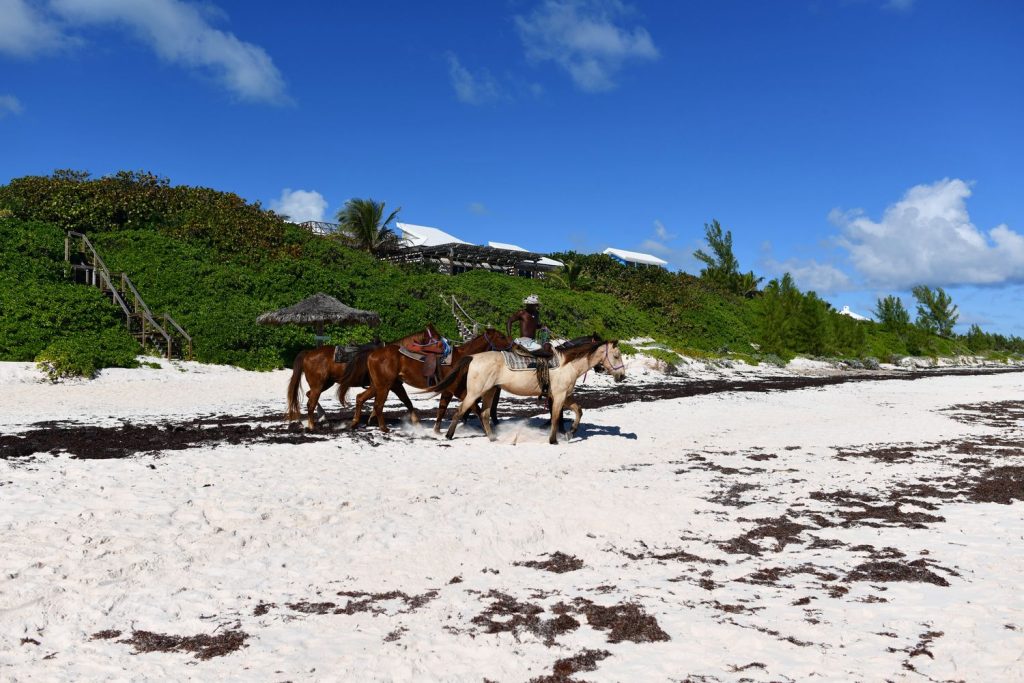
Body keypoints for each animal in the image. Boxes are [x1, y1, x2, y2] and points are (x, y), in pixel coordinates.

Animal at [284, 325, 440, 430]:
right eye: (437, 338)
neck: (397, 355)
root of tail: (309, 353)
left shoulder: (394, 385)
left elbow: (406, 401)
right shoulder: (385, 385)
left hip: (325, 384)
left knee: (309, 396)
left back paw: (322, 417)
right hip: (319, 384)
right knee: (311, 402)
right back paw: (311, 425)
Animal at [339, 328, 514, 432]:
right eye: (501, 336)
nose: (514, 345)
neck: (462, 357)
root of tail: (373, 353)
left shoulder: (448, 390)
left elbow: (442, 408)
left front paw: (437, 430)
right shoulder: (455, 389)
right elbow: (473, 407)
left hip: (382, 385)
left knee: (361, 398)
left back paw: (355, 423)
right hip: (384, 386)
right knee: (378, 405)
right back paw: (383, 428)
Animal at [427, 338, 626, 444]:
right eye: (616, 356)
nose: (622, 376)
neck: (567, 364)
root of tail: (473, 357)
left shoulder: (565, 396)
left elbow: (578, 411)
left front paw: (571, 432)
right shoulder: (559, 396)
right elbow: (556, 417)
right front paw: (553, 440)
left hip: (489, 392)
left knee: (483, 414)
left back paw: (492, 438)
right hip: (475, 393)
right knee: (460, 411)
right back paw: (449, 436)